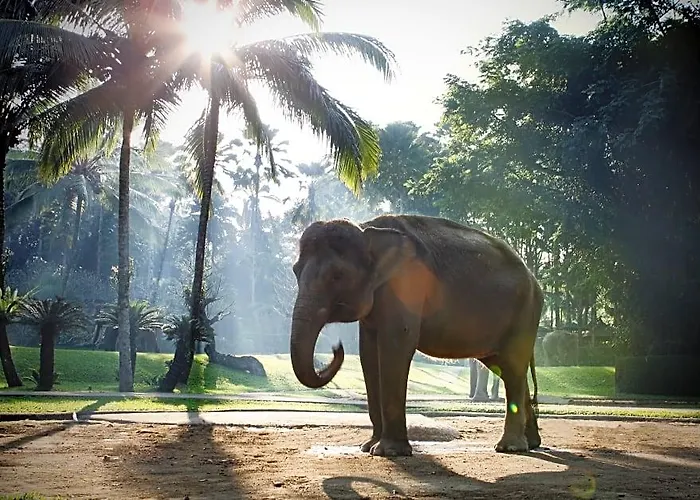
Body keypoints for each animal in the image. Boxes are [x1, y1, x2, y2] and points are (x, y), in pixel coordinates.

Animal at [289, 214, 544, 456]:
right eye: (295, 271)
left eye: (337, 275)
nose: (336, 347)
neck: (368, 229)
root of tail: (534, 278)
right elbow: (368, 353)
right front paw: (368, 447)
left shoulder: (406, 285)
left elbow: (396, 344)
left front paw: (388, 451)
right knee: (507, 369)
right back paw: (531, 443)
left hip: (525, 313)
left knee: (512, 368)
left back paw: (510, 448)